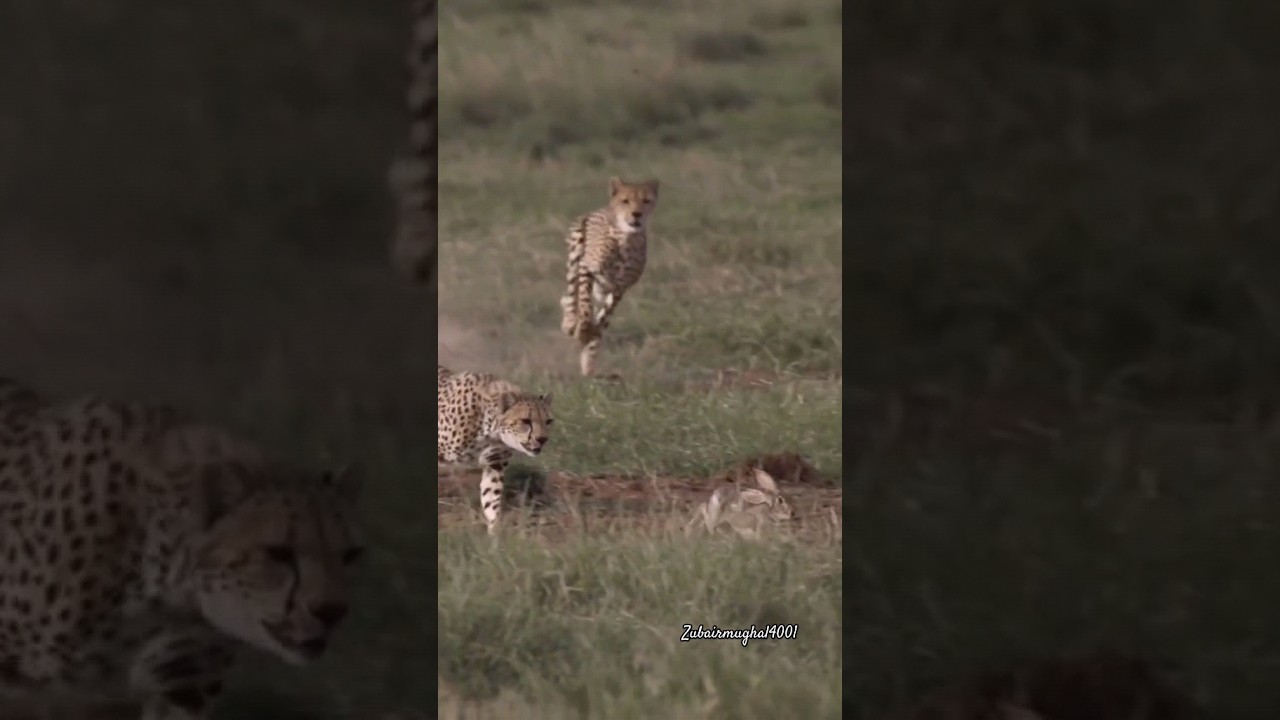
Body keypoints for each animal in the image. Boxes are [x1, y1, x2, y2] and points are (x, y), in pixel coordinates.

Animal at [437, 365, 553, 535]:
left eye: (548, 421)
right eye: (526, 421)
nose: (542, 439)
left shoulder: (494, 464)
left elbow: (491, 500)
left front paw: (494, 536)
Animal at [558, 176, 660, 378]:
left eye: (646, 201)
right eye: (625, 201)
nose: (636, 214)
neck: (626, 238)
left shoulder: (620, 287)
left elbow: (603, 318)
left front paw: (590, 342)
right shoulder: (587, 267)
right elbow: (584, 304)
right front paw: (582, 328)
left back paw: (589, 360)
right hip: (575, 255)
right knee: (572, 296)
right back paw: (571, 323)